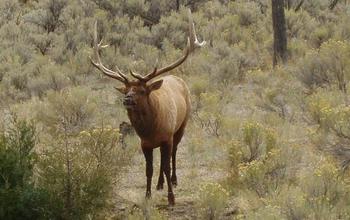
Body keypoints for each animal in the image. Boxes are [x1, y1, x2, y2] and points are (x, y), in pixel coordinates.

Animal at [90, 9, 205, 205]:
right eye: (126, 89)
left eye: (142, 90)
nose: (127, 99)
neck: (151, 128)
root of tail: (177, 78)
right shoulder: (144, 144)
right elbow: (149, 169)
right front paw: (148, 194)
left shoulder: (167, 137)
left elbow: (166, 166)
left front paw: (171, 198)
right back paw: (160, 184)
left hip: (181, 126)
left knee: (173, 155)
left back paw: (174, 180)